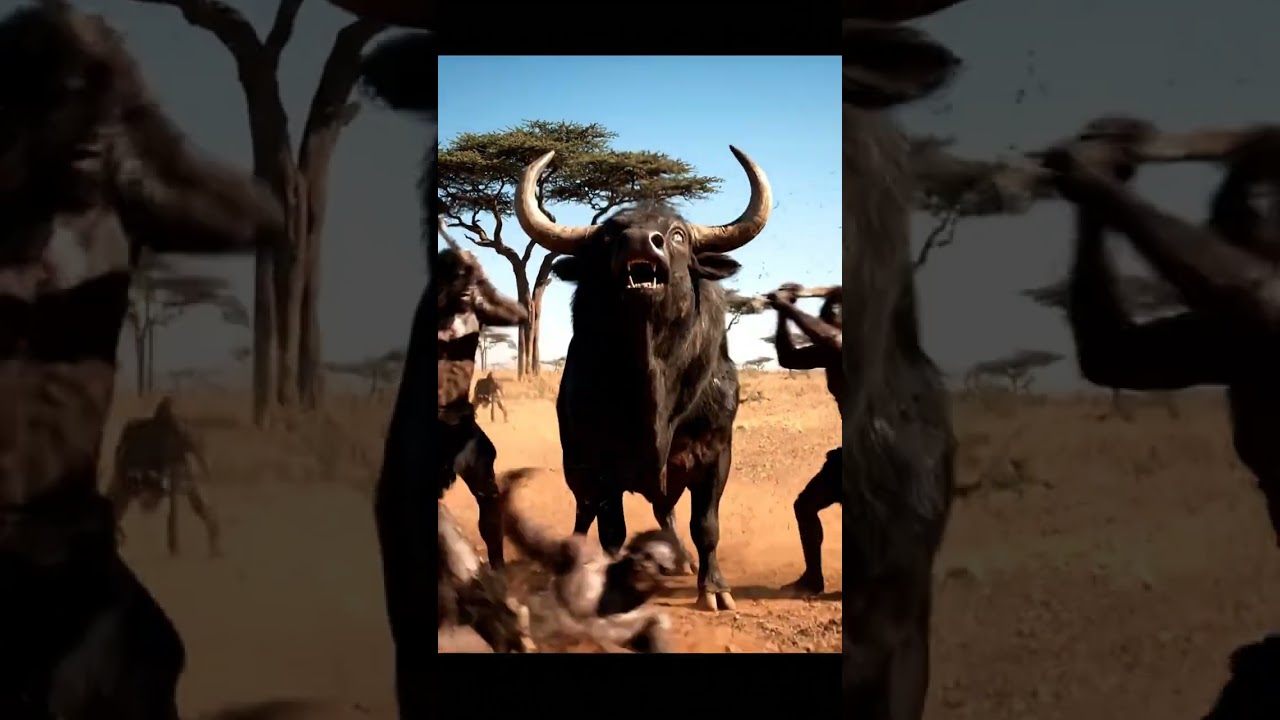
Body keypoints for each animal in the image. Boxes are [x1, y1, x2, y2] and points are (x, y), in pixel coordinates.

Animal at [513, 145, 773, 612]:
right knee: (585, 513)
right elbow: (610, 530)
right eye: (607, 237)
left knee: (665, 512)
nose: (640, 242)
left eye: (677, 235)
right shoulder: (598, 465)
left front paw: (714, 588)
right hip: (575, 466)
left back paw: (681, 559)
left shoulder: (715, 455)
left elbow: (705, 525)